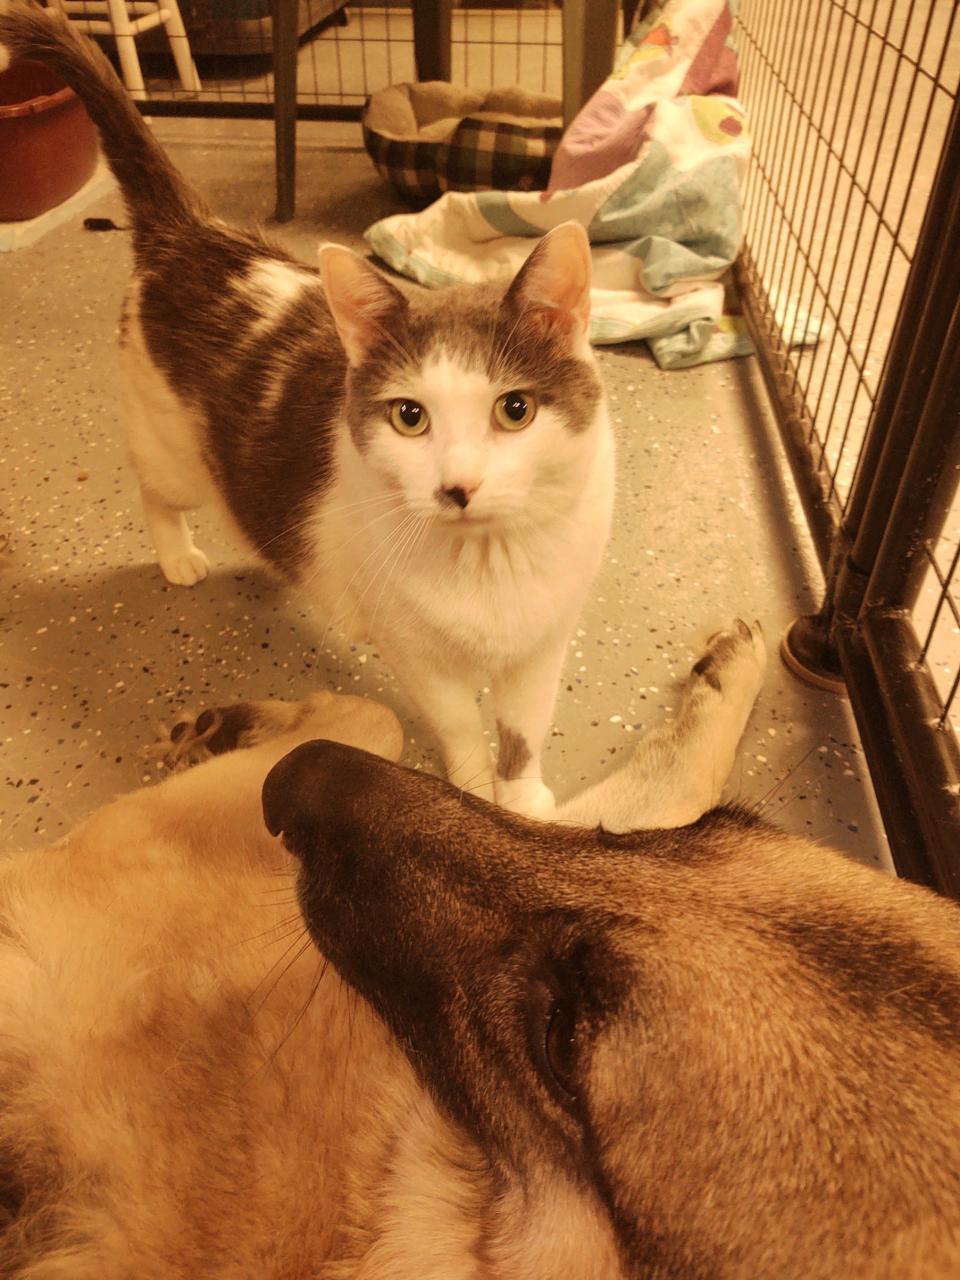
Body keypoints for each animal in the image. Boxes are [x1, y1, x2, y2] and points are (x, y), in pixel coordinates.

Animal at [0, 0, 616, 814]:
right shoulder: (420, 656)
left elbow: (523, 728)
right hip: (170, 447)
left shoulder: (543, 647)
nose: (458, 487)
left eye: (515, 410)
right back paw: (178, 555)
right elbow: (459, 730)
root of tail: (190, 229)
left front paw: (526, 799)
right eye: (410, 417)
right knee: (154, 489)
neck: (490, 561)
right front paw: (476, 796)